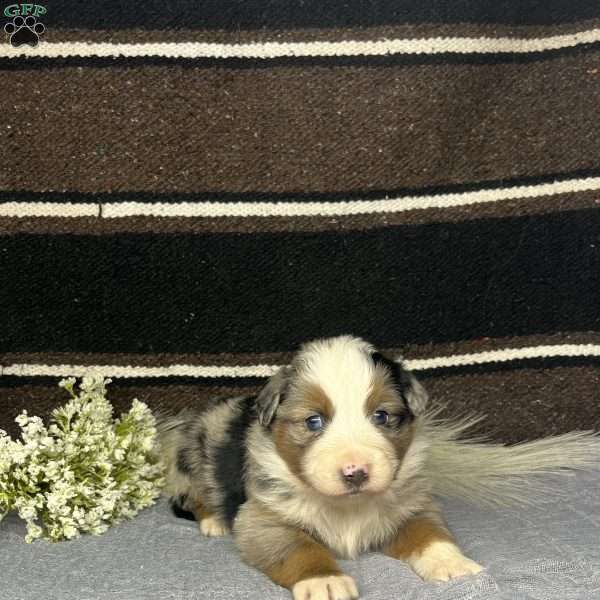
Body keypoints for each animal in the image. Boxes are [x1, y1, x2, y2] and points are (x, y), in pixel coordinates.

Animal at [159, 336, 600, 596]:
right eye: (314, 421)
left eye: (382, 417)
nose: (356, 472)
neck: (348, 505)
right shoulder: (264, 519)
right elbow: (299, 547)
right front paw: (326, 581)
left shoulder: (412, 504)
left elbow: (428, 533)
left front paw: (451, 562)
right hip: (194, 457)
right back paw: (212, 521)